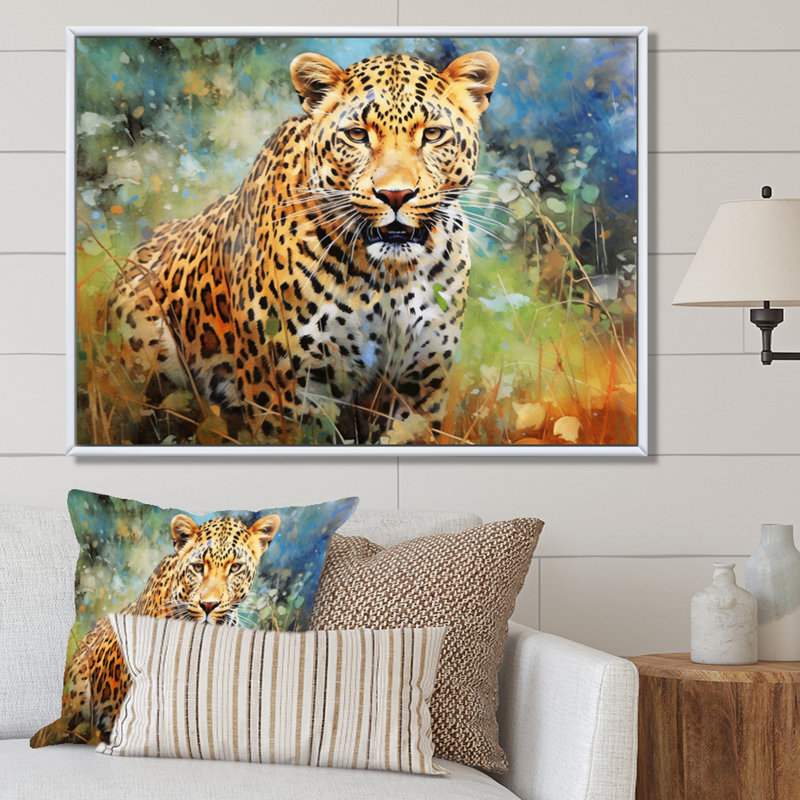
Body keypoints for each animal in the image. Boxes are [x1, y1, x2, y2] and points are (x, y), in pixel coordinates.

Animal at [106, 49, 499, 445]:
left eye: (432, 134)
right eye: (357, 135)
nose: (395, 195)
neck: (388, 276)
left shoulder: (420, 385)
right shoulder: (283, 393)